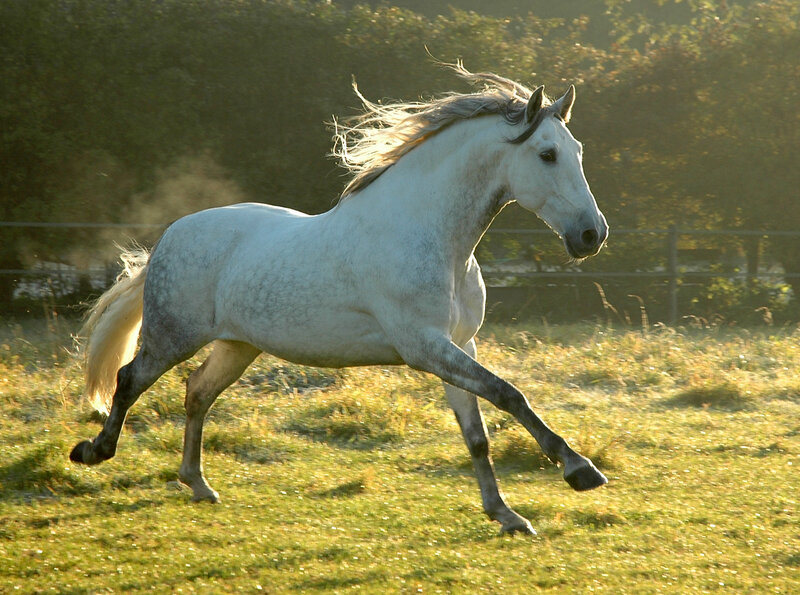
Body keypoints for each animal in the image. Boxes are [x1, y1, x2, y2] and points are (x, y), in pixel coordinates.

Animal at [70, 63, 609, 535]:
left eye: (579, 150)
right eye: (547, 154)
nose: (592, 235)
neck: (431, 235)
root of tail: (171, 235)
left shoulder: (459, 345)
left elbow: (476, 435)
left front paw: (506, 515)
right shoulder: (425, 347)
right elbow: (508, 394)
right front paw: (579, 470)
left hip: (237, 346)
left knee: (197, 392)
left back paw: (198, 484)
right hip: (172, 336)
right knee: (128, 379)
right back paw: (93, 452)